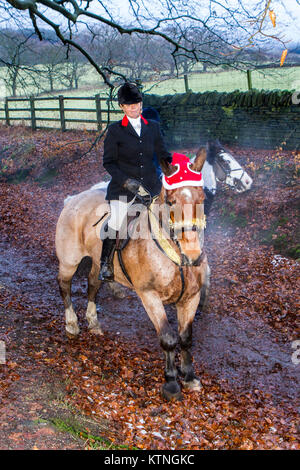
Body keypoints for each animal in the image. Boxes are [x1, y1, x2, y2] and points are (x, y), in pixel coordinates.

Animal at [56, 149, 211, 398]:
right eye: (171, 202)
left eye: (202, 198)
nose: (194, 254)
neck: (177, 258)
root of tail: (74, 199)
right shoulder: (149, 295)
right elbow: (168, 338)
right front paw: (171, 383)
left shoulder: (191, 298)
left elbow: (186, 338)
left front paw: (189, 377)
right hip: (69, 261)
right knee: (64, 286)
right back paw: (72, 323)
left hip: (98, 264)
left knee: (93, 285)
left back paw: (93, 321)